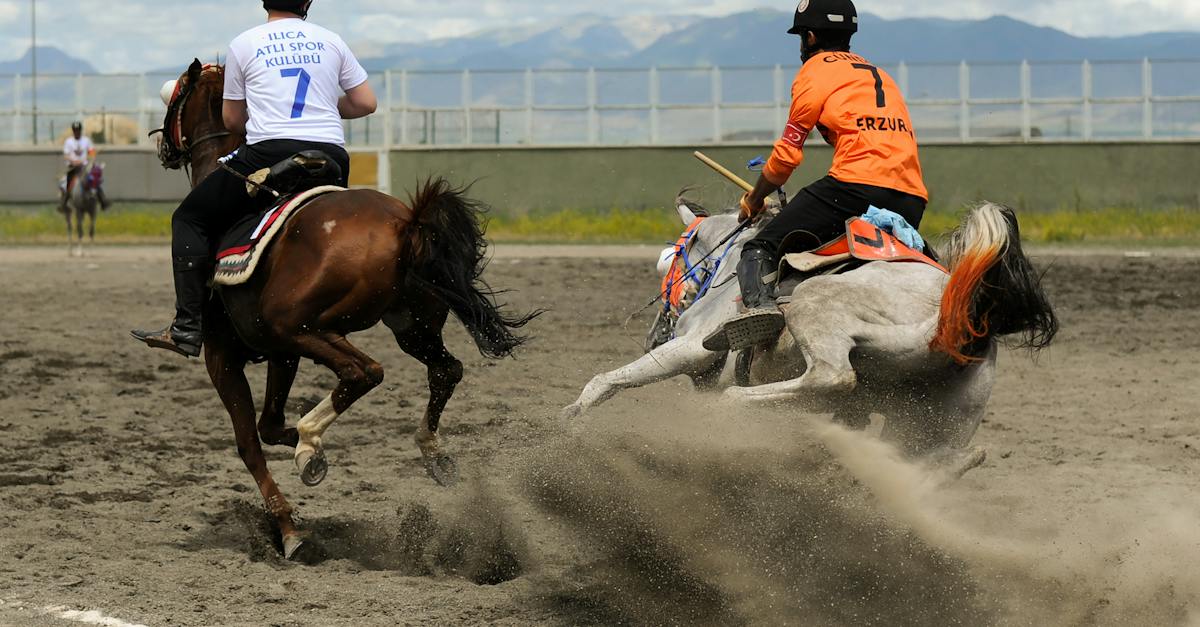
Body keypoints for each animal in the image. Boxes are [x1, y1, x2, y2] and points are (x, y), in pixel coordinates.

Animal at [156, 59, 540, 557]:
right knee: (445, 370)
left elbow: (249, 443)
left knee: (364, 372)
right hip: (407, 327)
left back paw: (311, 442)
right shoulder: (281, 354)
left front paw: (289, 527)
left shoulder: (223, 357)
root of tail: (404, 222)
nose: (163, 144)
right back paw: (431, 453)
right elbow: (269, 424)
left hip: (302, 326)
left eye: (175, 98)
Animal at [564, 198, 1060, 461]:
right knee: (944, 459)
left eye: (669, 261)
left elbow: (610, 379)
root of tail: (958, 316)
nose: (655, 333)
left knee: (832, 376)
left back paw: (741, 401)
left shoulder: (694, 347)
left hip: (815, 305)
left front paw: (572, 412)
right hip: (930, 423)